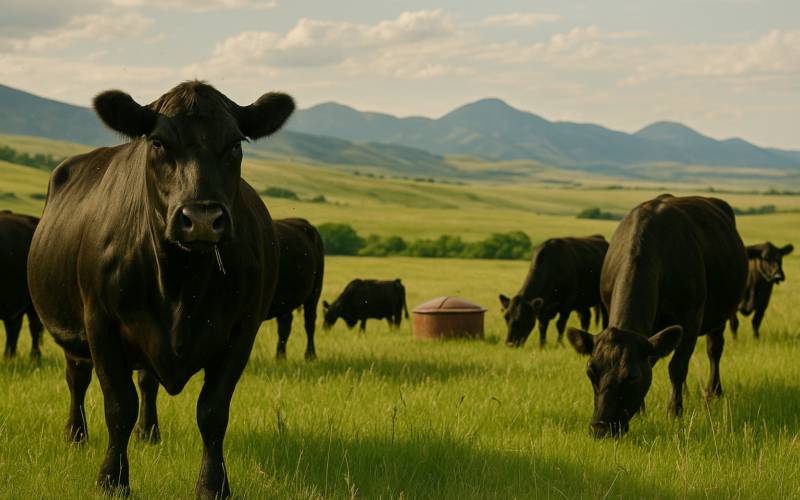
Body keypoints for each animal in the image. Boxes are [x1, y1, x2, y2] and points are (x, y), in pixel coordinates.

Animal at [27, 80, 294, 499]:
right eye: (157, 142)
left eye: (236, 143)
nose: (201, 218)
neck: (181, 284)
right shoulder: (100, 322)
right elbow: (119, 406)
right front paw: (111, 480)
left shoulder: (243, 329)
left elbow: (213, 411)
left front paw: (213, 484)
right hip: (74, 331)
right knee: (77, 379)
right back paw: (76, 436)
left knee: (147, 381)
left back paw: (149, 433)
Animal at [269, 218, 325, 360]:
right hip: (285, 301)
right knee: (285, 325)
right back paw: (280, 356)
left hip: (314, 293)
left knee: (309, 323)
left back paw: (310, 355)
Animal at [566, 195, 747, 438]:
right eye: (590, 372)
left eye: (632, 376)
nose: (601, 427)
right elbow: (654, 363)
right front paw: (642, 411)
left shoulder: (691, 319)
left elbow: (677, 366)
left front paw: (674, 411)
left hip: (721, 312)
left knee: (714, 349)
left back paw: (712, 392)